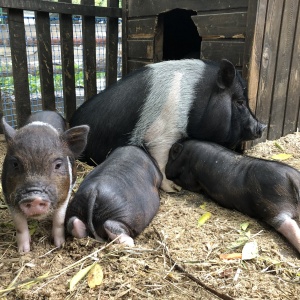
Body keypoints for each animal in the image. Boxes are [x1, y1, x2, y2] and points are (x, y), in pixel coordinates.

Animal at [1, 111, 90, 252]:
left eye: (58, 165)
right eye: (15, 164)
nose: (34, 198)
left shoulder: (65, 195)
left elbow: (59, 220)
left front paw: (59, 245)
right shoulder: (9, 197)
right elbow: (20, 225)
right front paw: (23, 251)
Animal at [69, 59, 264, 192]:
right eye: (240, 102)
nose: (262, 126)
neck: (196, 100)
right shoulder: (161, 135)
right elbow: (161, 162)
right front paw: (175, 189)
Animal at [165, 140, 300, 253]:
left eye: (170, 156)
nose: (165, 171)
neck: (187, 155)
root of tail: (292, 176)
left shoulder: (191, 178)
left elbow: (189, 184)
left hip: (272, 206)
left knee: (287, 224)